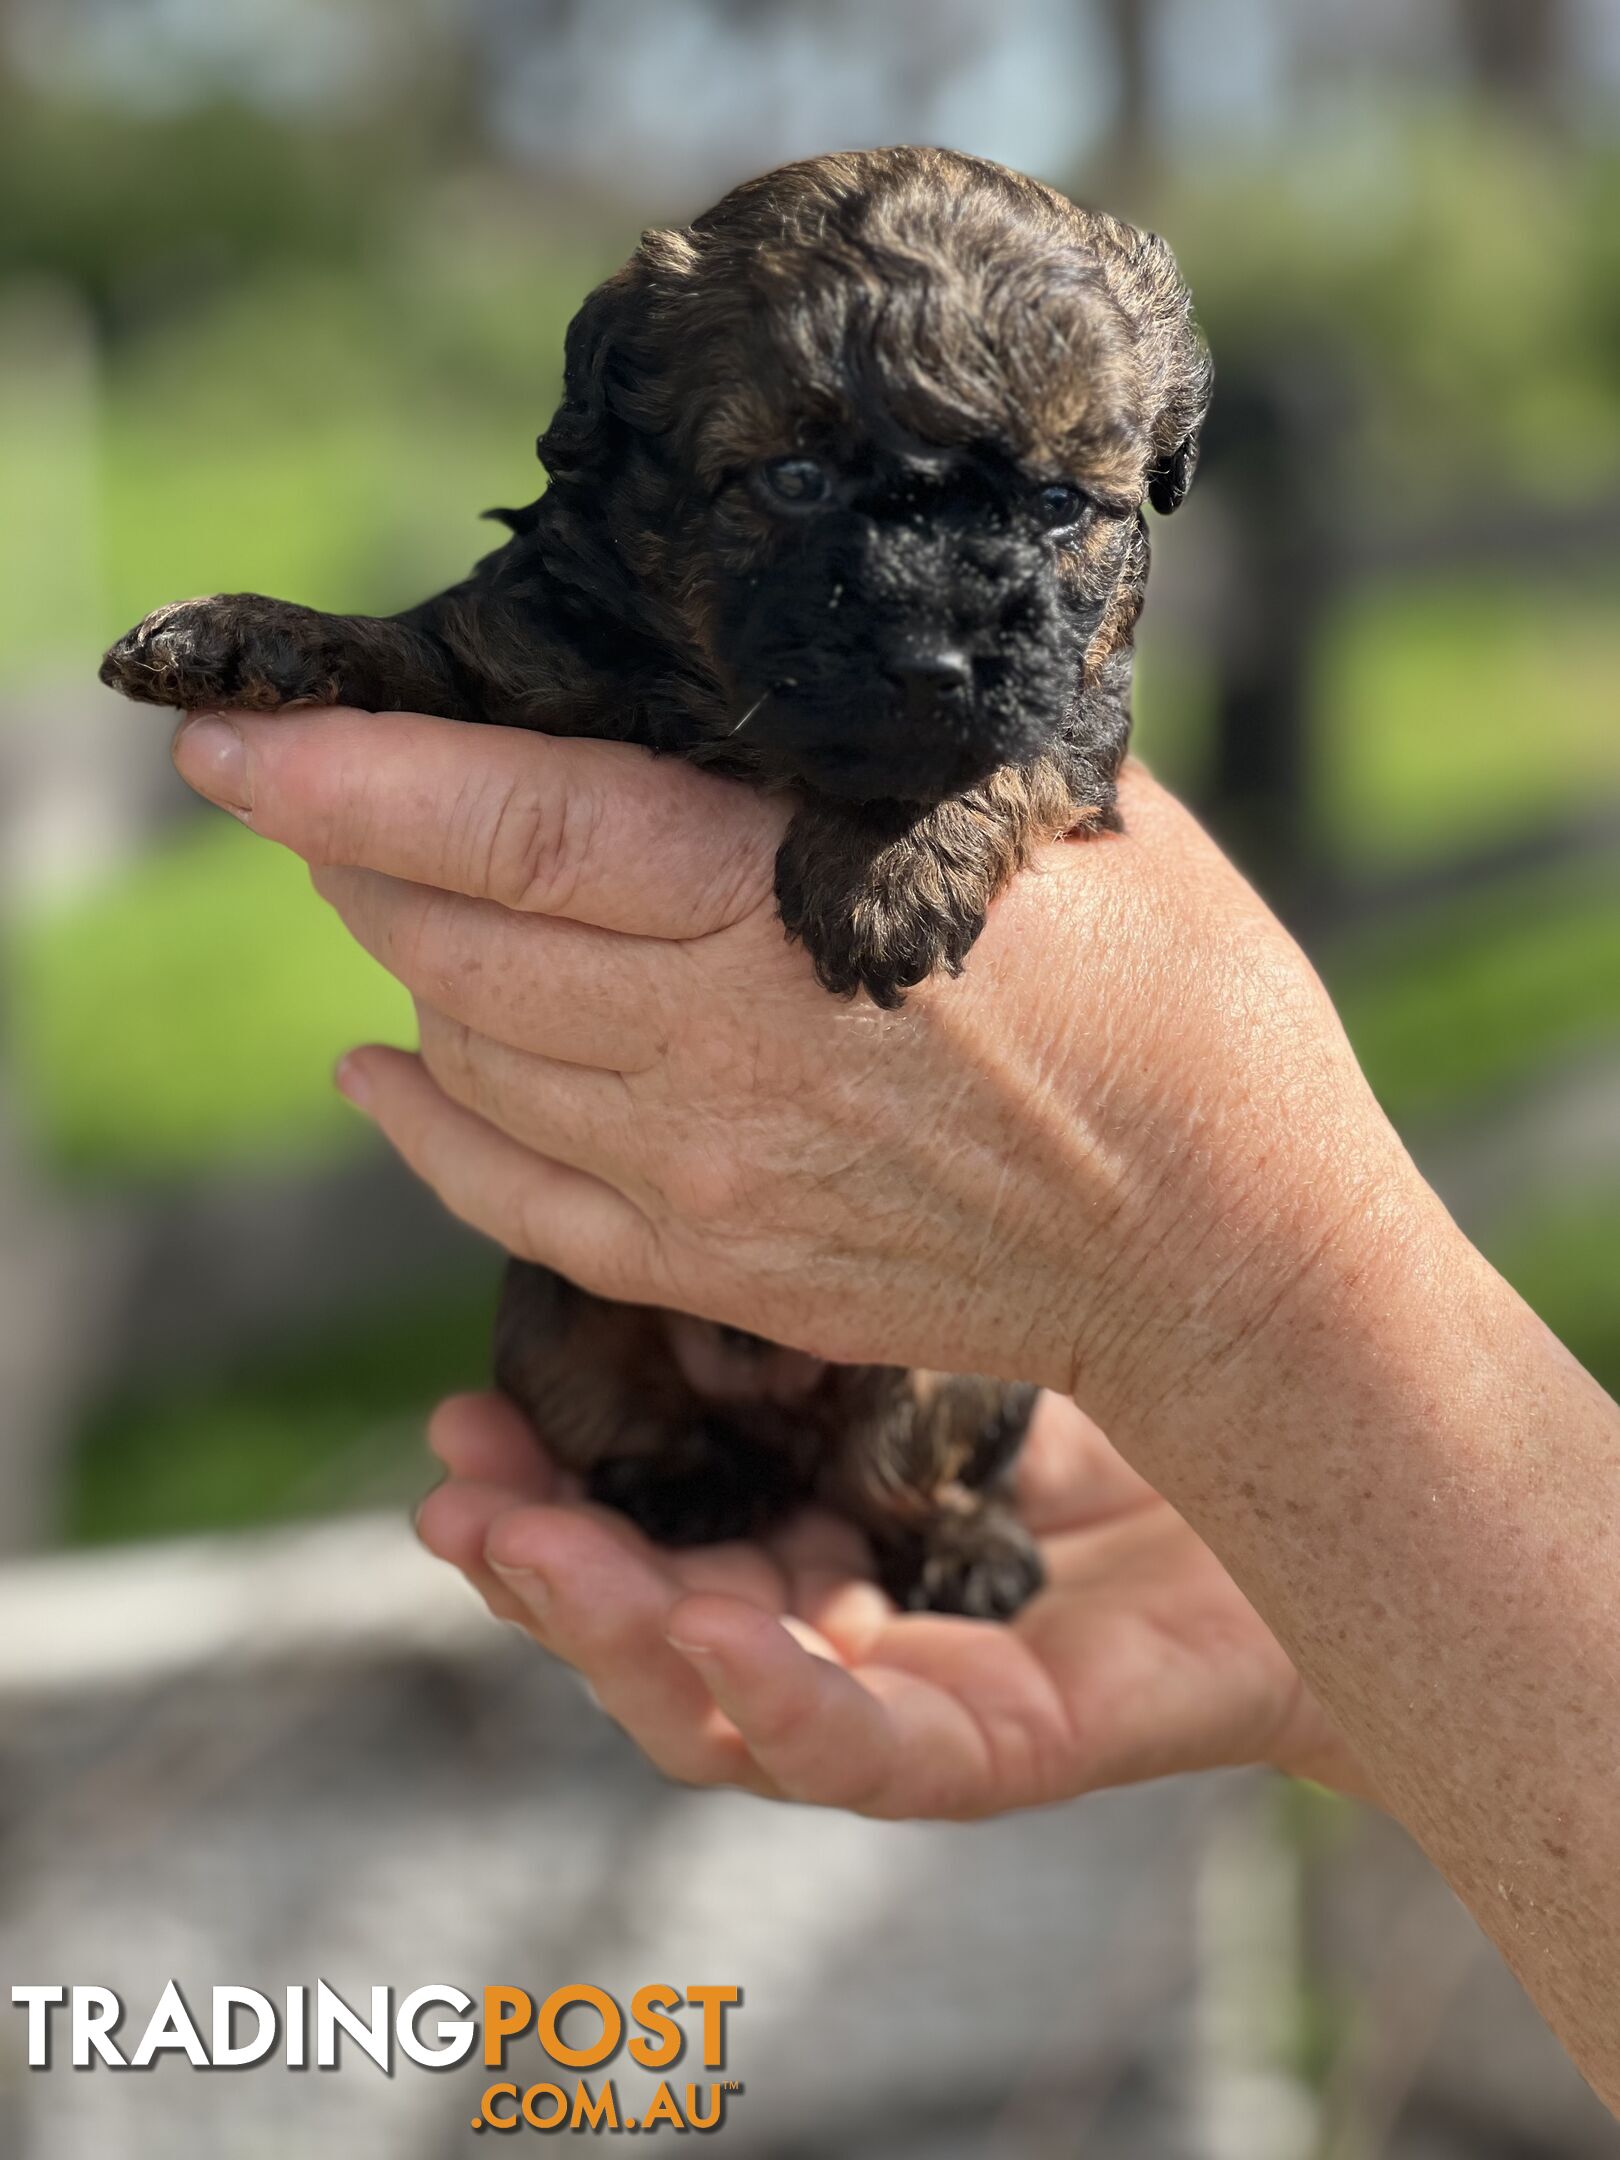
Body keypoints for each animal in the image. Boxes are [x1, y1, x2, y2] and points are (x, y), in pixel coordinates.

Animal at [101, 143, 1209, 1615]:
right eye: (793, 477)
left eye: (1055, 505)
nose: (937, 661)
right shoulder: (511, 666)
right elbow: (398, 647)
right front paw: (237, 633)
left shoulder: (1078, 724)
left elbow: (1011, 754)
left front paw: (887, 870)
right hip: (551, 1316)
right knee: (626, 1412)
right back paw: (688, 1482)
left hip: (961, 1365)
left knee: (895, 1465)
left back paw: (963, 1548)